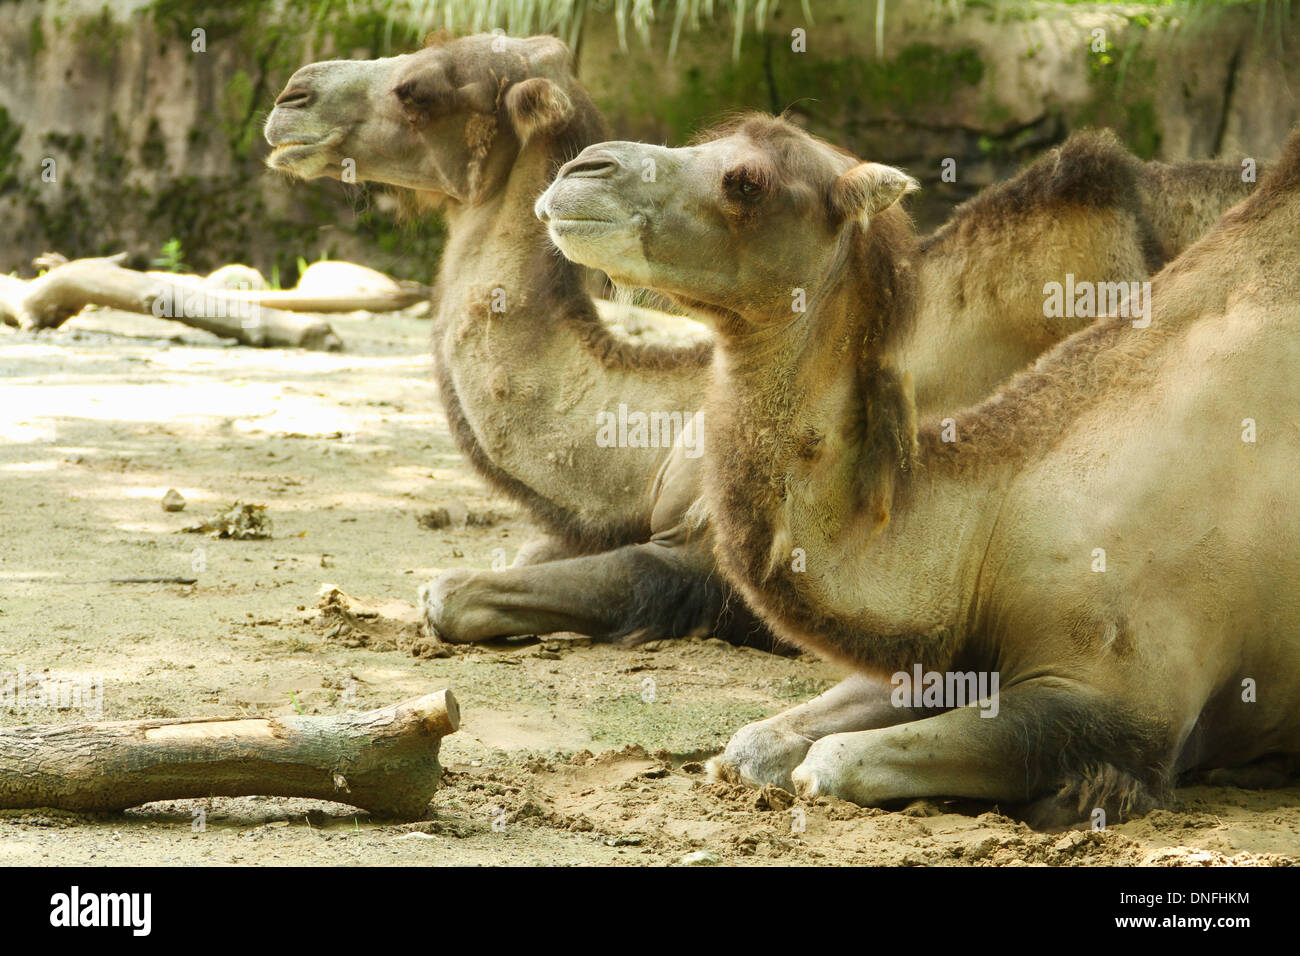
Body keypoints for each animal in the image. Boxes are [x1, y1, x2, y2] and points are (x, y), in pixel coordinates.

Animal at [538, 115, 1300, 827]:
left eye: (747, 182)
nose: (581, 168)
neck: (996, 518)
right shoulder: (946, 654)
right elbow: (754, 743)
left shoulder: (1124, 700)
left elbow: (830, 763)